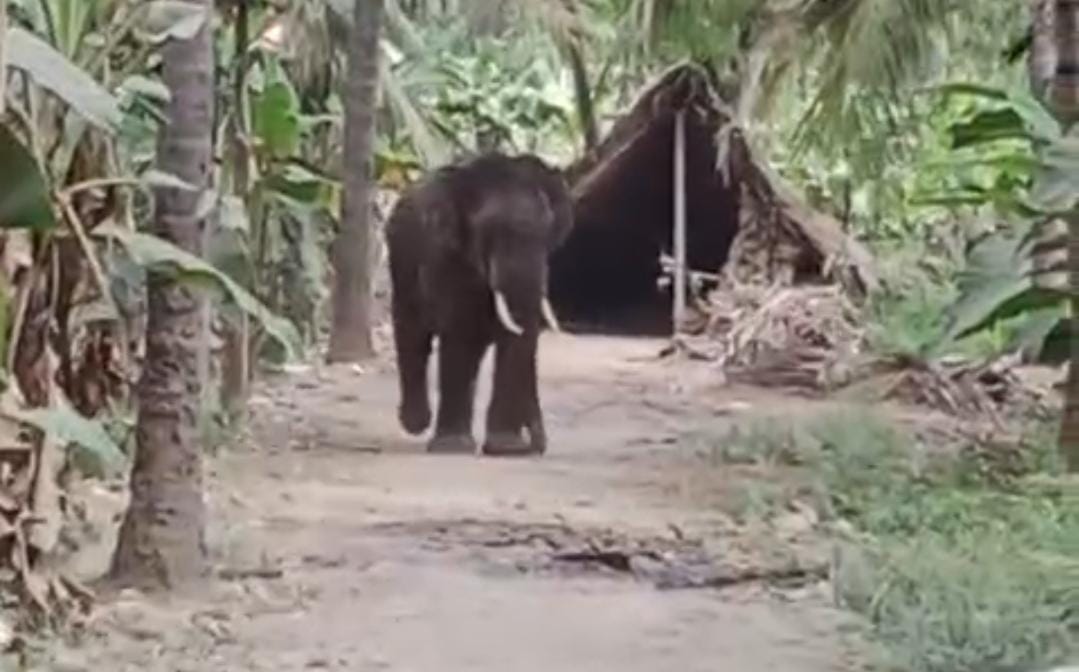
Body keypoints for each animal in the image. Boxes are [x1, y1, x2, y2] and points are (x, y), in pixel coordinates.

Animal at [386, 152, 574, 457]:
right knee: (412, 334)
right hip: (400, 263)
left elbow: (517, 338)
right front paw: (453, 448)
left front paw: (506, 448)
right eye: (488, 234)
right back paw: (416, 423)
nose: (537, 445)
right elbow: (460, 335)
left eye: (545, 234)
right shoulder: (446, 257)